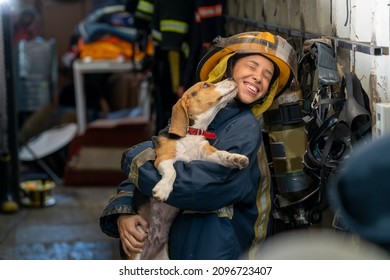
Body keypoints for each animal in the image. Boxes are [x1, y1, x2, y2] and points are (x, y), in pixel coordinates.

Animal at [125, 77, 250, 260]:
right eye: (206, 85)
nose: (232, 78)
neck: (192, 133)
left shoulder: (206, 154)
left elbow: (221, 154)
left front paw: (235, 158)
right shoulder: (163, 158)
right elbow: (172, 171)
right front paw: (163, 189)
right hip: (136, 251)